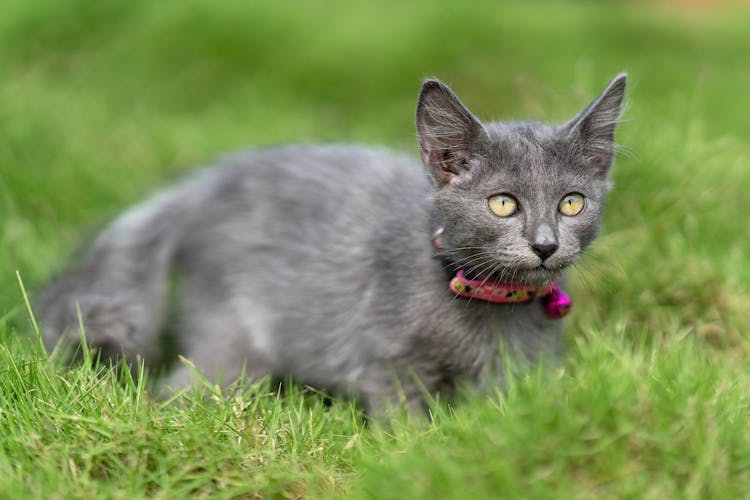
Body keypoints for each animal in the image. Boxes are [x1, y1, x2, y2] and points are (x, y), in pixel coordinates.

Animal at [39, 74, 628, 416]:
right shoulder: (385, 362)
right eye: (503, 204)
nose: (545, 245)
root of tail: (203, 187)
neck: (488, 306)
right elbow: (406, 421)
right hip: (233, 342)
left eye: (571, 203)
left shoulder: (523, 371)